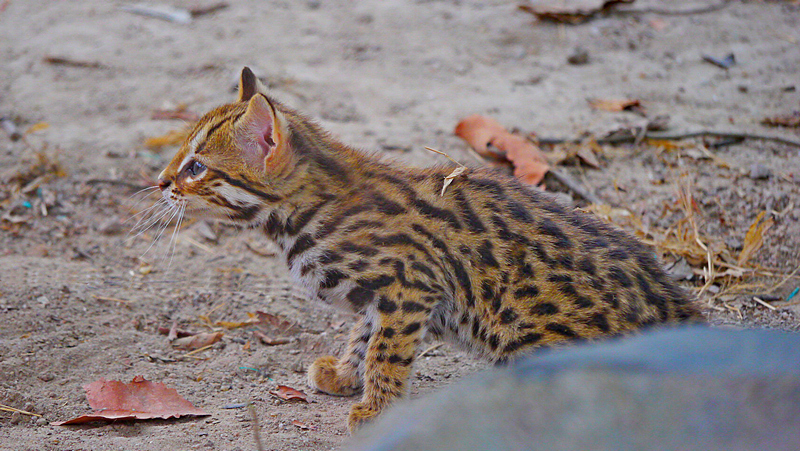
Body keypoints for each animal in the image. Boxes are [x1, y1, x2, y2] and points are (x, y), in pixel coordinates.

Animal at [159, 66, 704, 430]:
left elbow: (385, 351)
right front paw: (345, 374)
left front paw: (376, 408)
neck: (301, 215)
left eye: (196, 167)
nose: (160, 182)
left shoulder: (409, 285)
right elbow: (363, 334)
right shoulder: (385, 295)